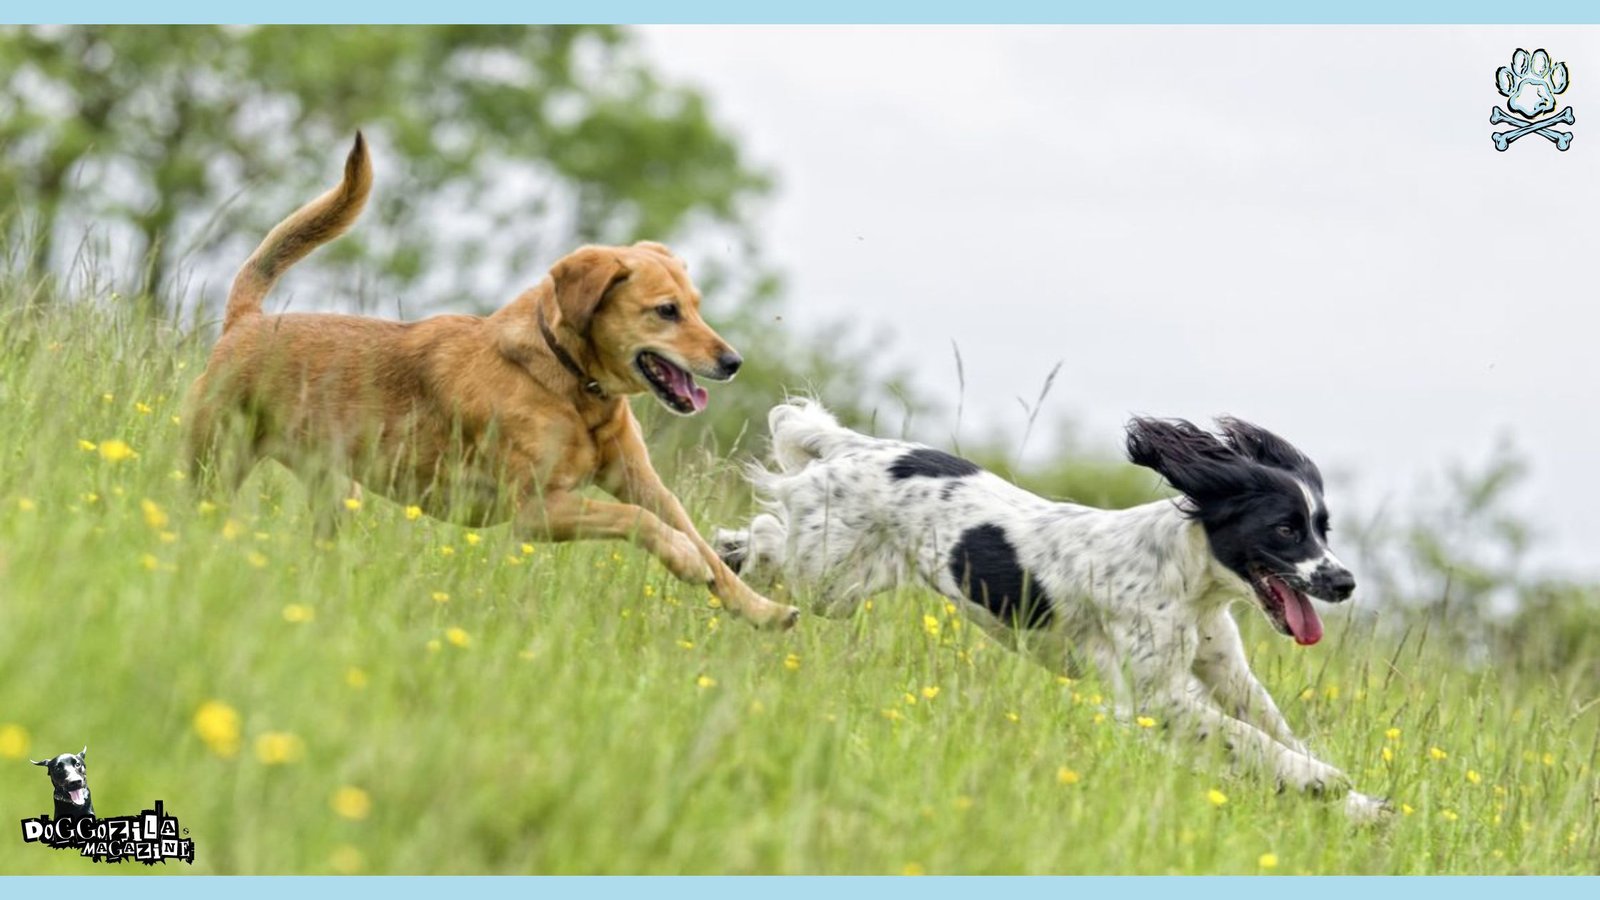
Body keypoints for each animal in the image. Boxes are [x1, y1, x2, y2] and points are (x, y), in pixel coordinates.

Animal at [185, 132, 800, 627]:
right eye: (666, 311)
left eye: (697, 306)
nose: (733, 361)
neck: (572, 385)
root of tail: (246, 321)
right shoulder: (536, 511)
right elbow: (642, 523)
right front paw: (686, 561)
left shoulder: (641, 480)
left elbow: (695, 538)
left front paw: (762, 610)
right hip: (215, 462)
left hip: (337, 492)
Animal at [723, 398, 1388, 819]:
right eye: (1285, 529)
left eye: (1322, 528)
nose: (1345, 582)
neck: (1191, 582)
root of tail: (849, 446)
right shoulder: (1154, 696)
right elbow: (1247, 739)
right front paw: (1322, 782)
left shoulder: (1223, 670)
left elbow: (1270, 727)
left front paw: (1358, 805)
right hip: (828, 576)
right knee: (768, 533)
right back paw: (733, 563)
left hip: (842, 586)